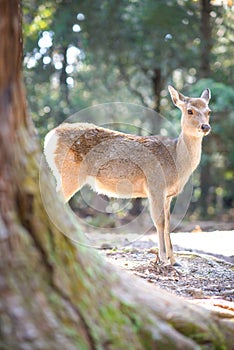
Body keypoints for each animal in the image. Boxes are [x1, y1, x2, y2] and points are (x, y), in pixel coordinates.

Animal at [44, 85, 212, 266]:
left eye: (209, 111)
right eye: (190, 111)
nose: (205, 127)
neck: (177, 161)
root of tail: (49, 137)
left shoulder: (168, 195)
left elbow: (168, 224)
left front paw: (174, 260)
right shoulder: (156, 185)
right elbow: (159, 222)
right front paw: (162, 258)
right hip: (69, 173)